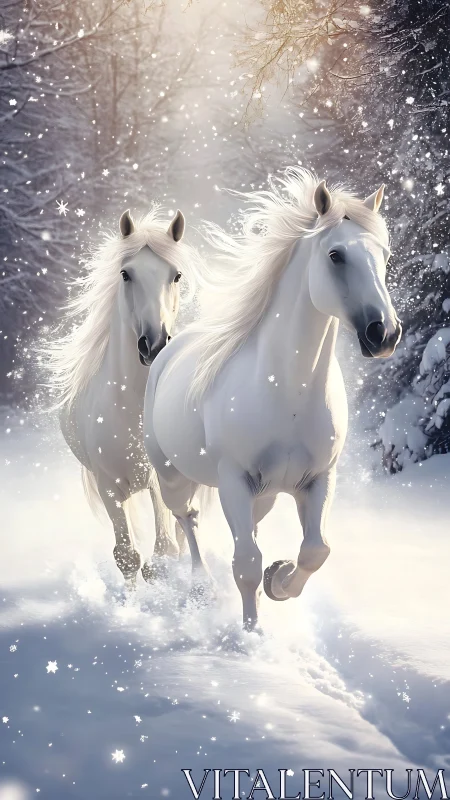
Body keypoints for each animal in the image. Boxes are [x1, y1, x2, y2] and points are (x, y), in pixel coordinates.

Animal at [49, 206, 199, 586]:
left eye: (176, 276)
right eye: (125, 274)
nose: (154, 345)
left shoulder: (161, 480)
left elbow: (164, 555)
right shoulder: (108, 487)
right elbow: (127, 557)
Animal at [143, 169, 402, 629]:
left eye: (385, 255)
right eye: (336, 255)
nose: (384, 334)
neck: (288, 393)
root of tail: (167, 352)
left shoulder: (317, 480)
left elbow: (316, 551)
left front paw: (278, 580)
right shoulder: (234, 481)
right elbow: (245, 562)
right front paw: (252, 633)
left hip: (263, 497)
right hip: (173, 475)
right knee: (186, 518)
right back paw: (200, 585)